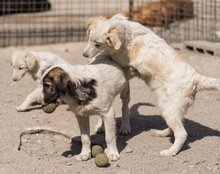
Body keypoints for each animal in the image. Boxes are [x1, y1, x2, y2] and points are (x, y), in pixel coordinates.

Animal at [83, 14, 220, 157]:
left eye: (97, 44)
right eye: (89, 38)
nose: (84, 55)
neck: (127, 32)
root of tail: (195, 78)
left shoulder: (120, 57)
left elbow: (108, 53)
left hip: (169, 107)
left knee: (182, 133)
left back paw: (170, 152)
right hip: (174, 107)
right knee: (175, 126)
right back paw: (162, 133)